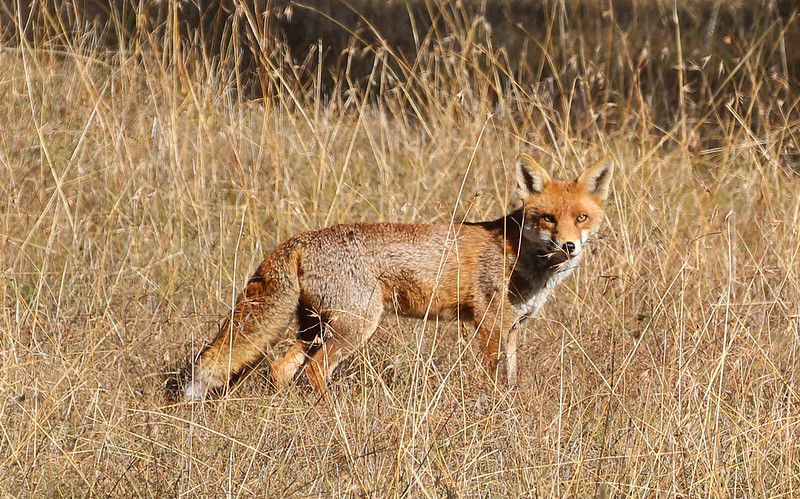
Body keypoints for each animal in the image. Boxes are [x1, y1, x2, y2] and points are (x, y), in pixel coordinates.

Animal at [184, 154, 612, 400]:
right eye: (548, 219)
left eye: (581, 218)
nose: (569, 246)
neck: (519, 254)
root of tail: (300, 238)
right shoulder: (489, 324)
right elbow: (496, 379)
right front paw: (497, 411)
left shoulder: (512, 328)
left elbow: (511, 375)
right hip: (355, 327)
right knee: (316, 370)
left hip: (314, 328)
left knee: (282, 367)